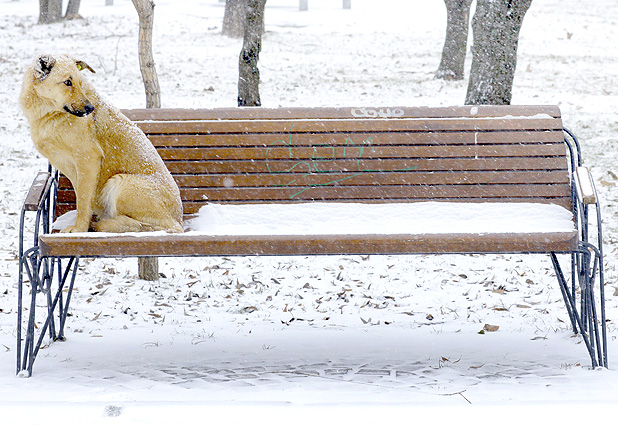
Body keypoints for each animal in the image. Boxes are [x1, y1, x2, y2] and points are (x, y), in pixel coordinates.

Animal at [19, 53, 183, 234]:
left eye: (80, 82)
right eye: (68, 82)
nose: (90, 108)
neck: (50, 114)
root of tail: (180, 221)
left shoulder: (88, 159)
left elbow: (83, 201)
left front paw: (79, 228)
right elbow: (82, 198)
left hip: (120, 183)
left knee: (146, 227)